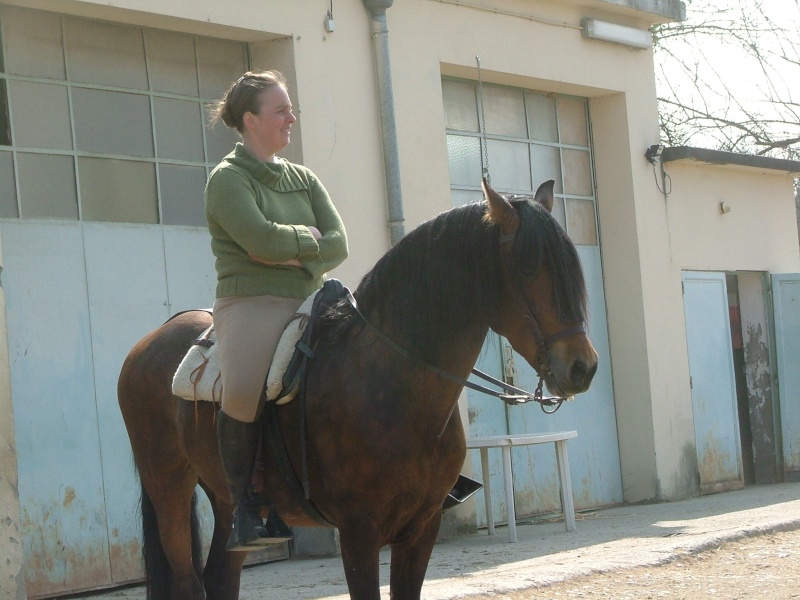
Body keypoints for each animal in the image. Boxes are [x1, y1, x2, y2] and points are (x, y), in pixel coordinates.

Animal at [117, 179, 592, 600]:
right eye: (528, 267)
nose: (582, 367)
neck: (390, 381)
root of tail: (152, 340)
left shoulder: (420, 531)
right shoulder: (359, 533)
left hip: (223, 497)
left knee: (220, 575)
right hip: (169, 487)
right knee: (188, 582)